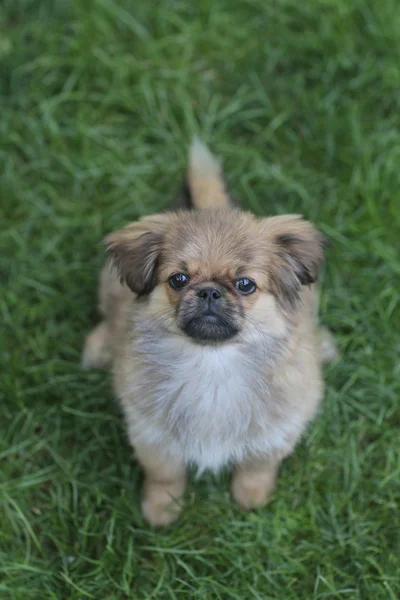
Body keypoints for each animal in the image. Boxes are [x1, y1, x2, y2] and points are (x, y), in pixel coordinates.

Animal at [82, 141, 338, 524]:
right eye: (179, 279)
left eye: (245, 284)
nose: (209, 292)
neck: (212, 362)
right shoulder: (152, 435)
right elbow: (165, 475)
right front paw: (162, 509)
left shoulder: (277, 429)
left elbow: (257, 468)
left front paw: (252, 500)